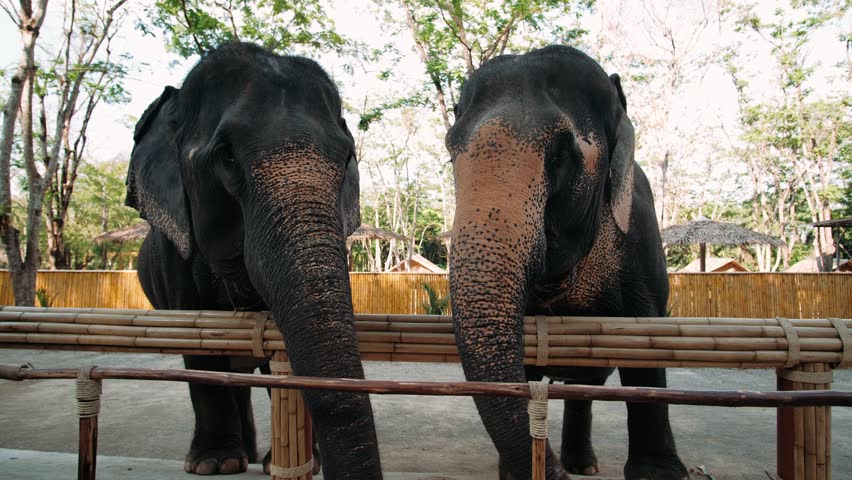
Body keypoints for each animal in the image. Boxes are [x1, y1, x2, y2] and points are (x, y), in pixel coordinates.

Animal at [126, 42, 382, 478]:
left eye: (347, 157)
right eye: (225, 156)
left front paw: (304, 462)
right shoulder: (175, 260)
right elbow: (199, 347)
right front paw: (213, 463)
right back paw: (232, 457)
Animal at [445, 45, 689, 480]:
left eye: (562, 154)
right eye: (450, 153)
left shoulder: (640, 238)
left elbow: (645, 348)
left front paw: (658, 473)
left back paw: (582, 466)